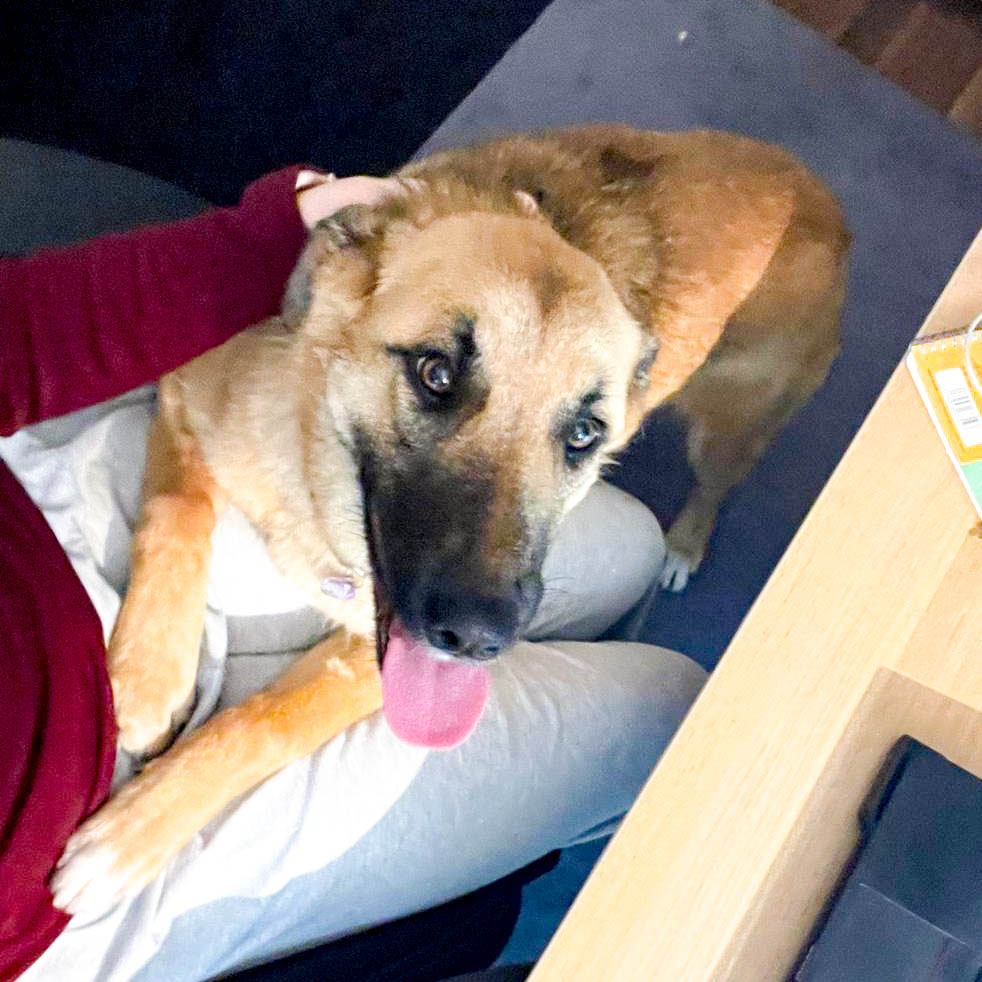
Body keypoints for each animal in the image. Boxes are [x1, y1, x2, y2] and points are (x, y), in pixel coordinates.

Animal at [51, 125, 848, 913]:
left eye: (584, 434)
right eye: (435, 374)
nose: (477, 640)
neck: (313, 486)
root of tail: (811, 188)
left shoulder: (368, 659)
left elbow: (263, 723)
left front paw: (134, 833)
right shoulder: (185, 402)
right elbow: (174, 515)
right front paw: (147, 677)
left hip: (726, 431)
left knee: (716, 488)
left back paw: (684, 545)